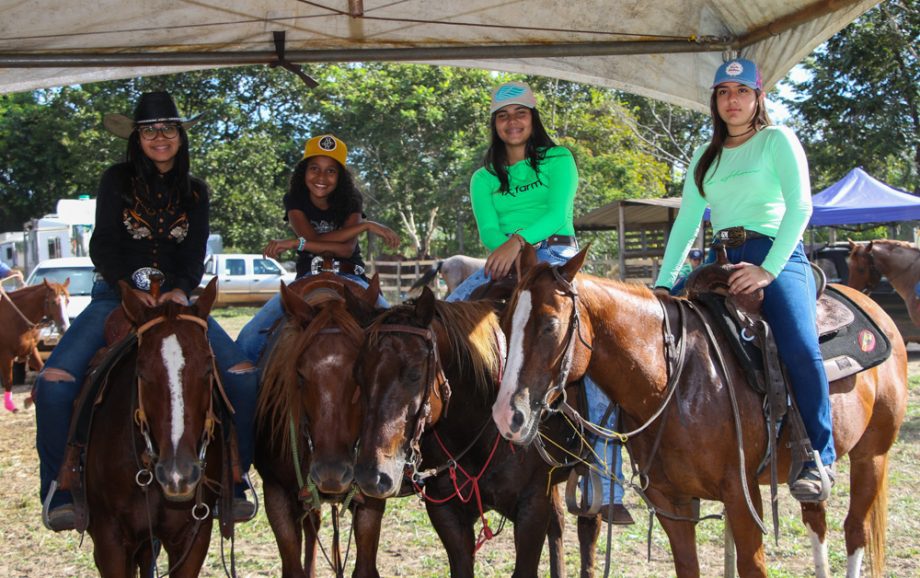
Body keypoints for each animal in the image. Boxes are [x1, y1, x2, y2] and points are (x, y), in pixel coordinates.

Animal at [0, 278, 68, 410]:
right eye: (53, 302)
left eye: (67, 300)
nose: (64, 327)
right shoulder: (6, 355)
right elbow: (9, 380)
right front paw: (10, 405)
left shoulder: (30, 350)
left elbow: (42, 369)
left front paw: (31, 398)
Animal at [354, 288, 604, 576]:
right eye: (359, 373)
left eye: (415, 374)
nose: (372, 476)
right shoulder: (446, 512)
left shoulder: (532, 510)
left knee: (588, 525)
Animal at [492, 245, 908, 576]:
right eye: (505, 321)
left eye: (550, 325)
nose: (506, 416)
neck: (674, 379)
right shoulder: (670, 504)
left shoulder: (742, 499)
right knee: (816, 520)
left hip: (872, 455)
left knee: (855, 530)